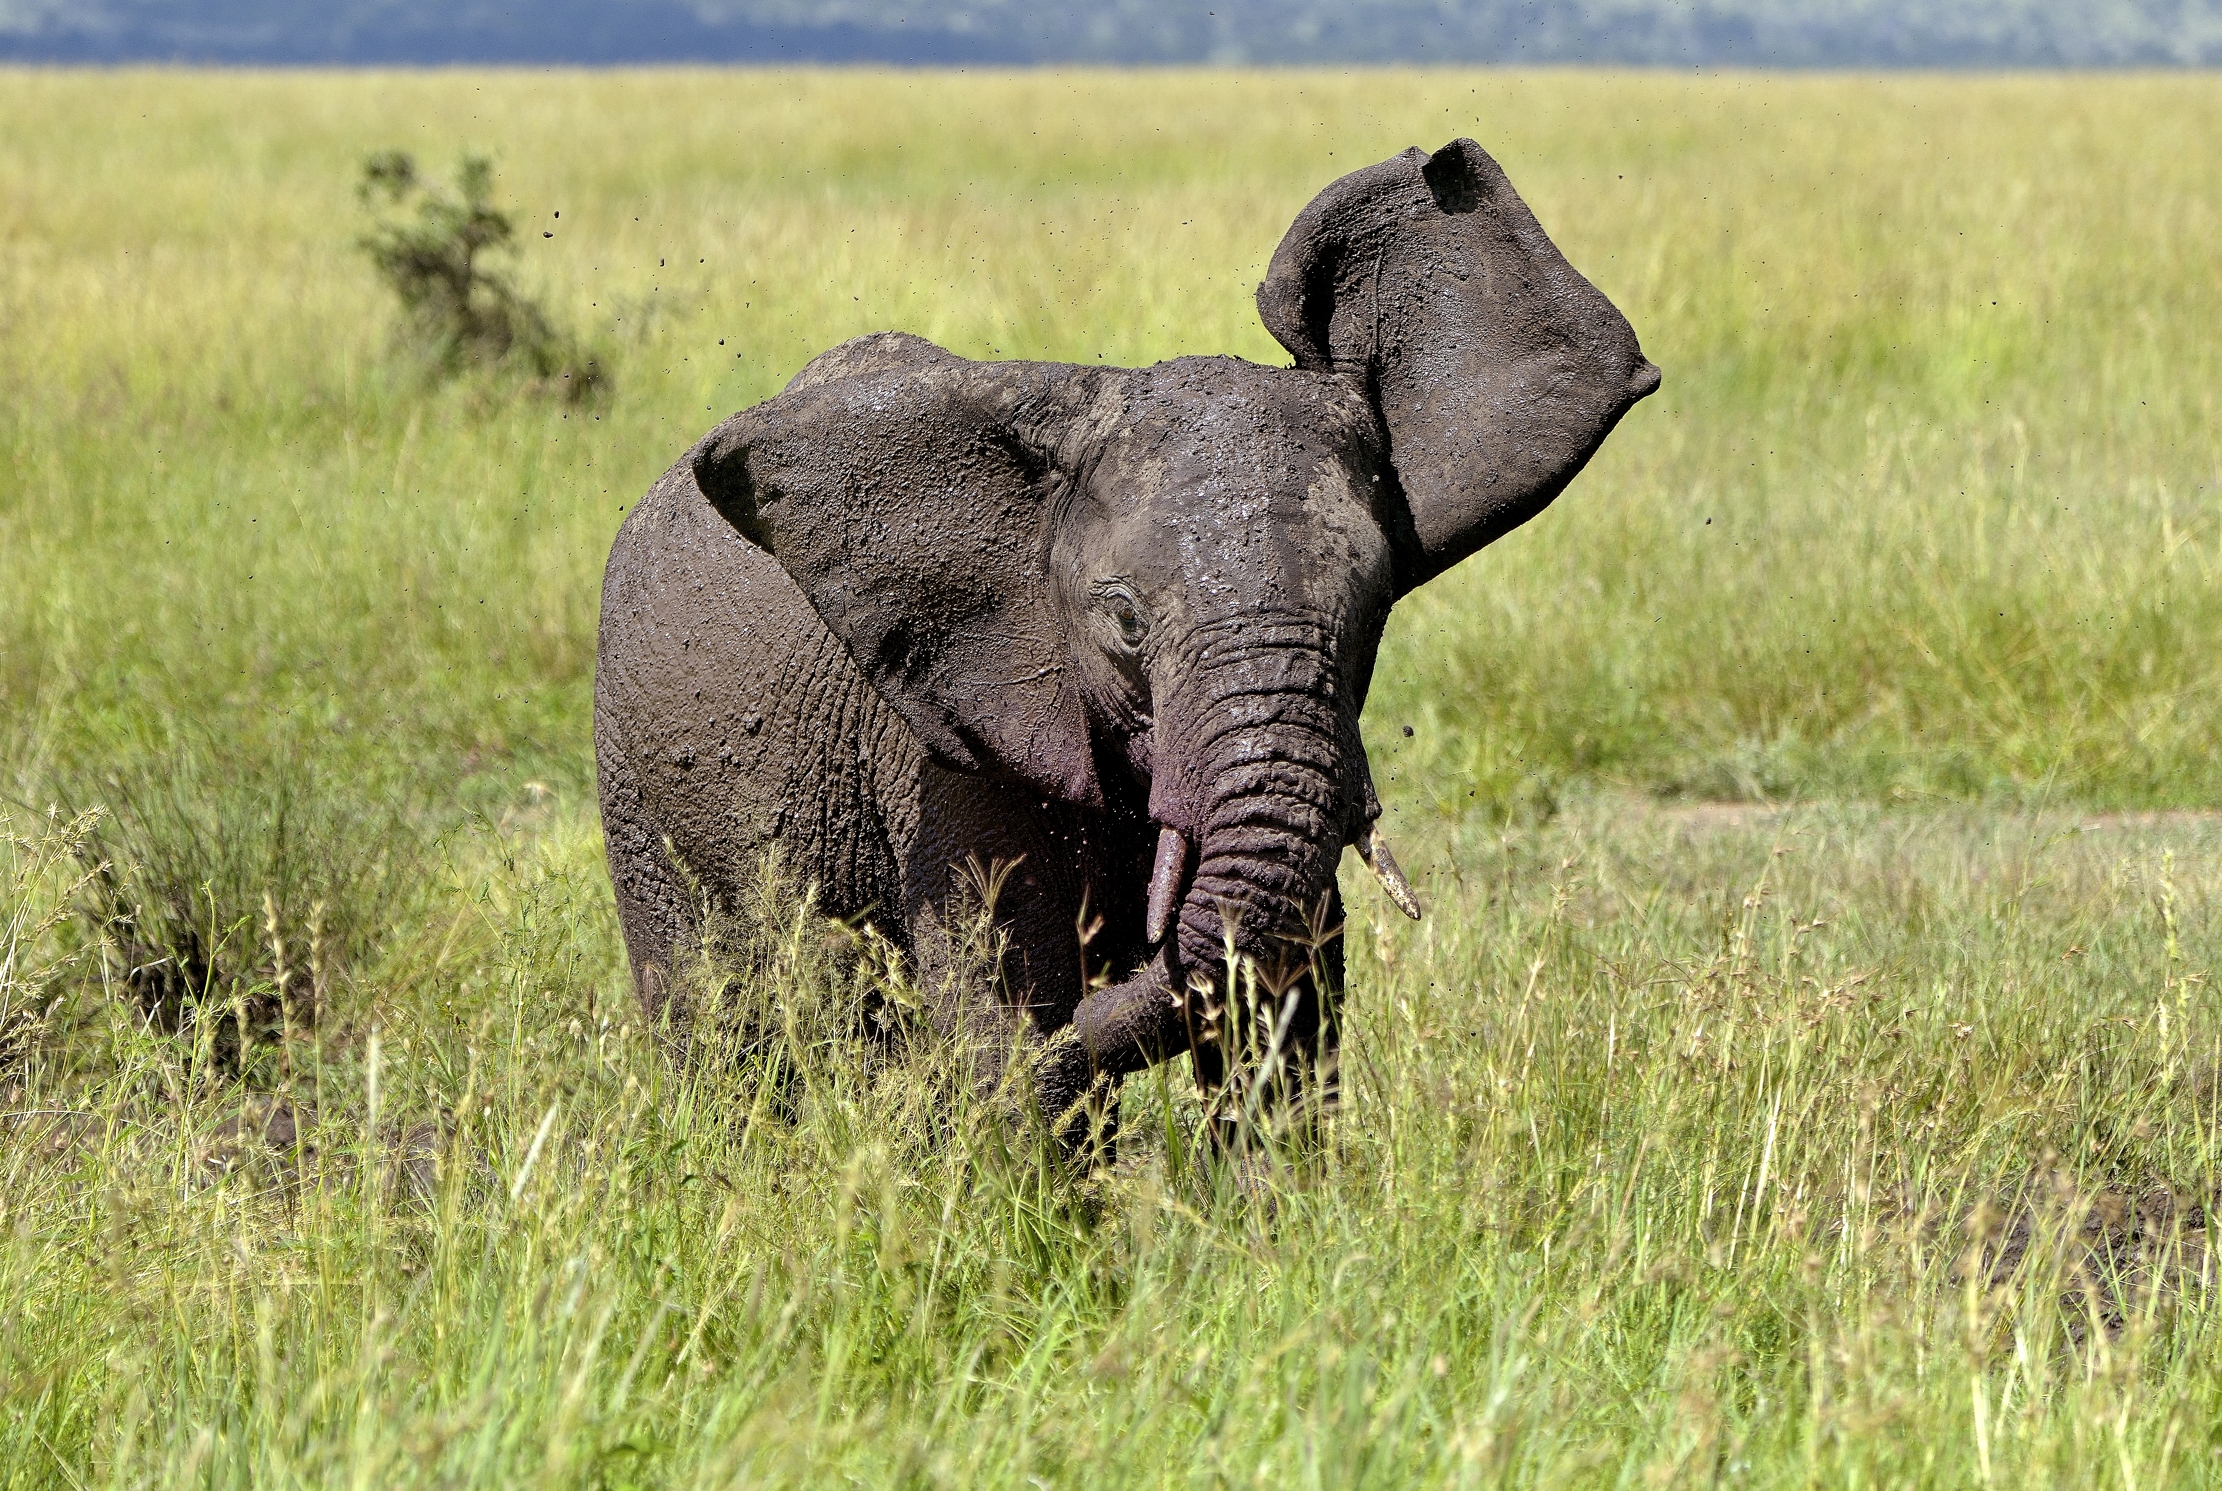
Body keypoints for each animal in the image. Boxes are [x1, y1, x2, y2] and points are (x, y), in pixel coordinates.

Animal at [594, 138, 1657, 1134]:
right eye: (1126, 623)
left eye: (1371, 608)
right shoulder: (951, 746)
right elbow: (1003, 993)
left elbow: (1283, 996)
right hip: (631, 767)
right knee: (705, 1000)